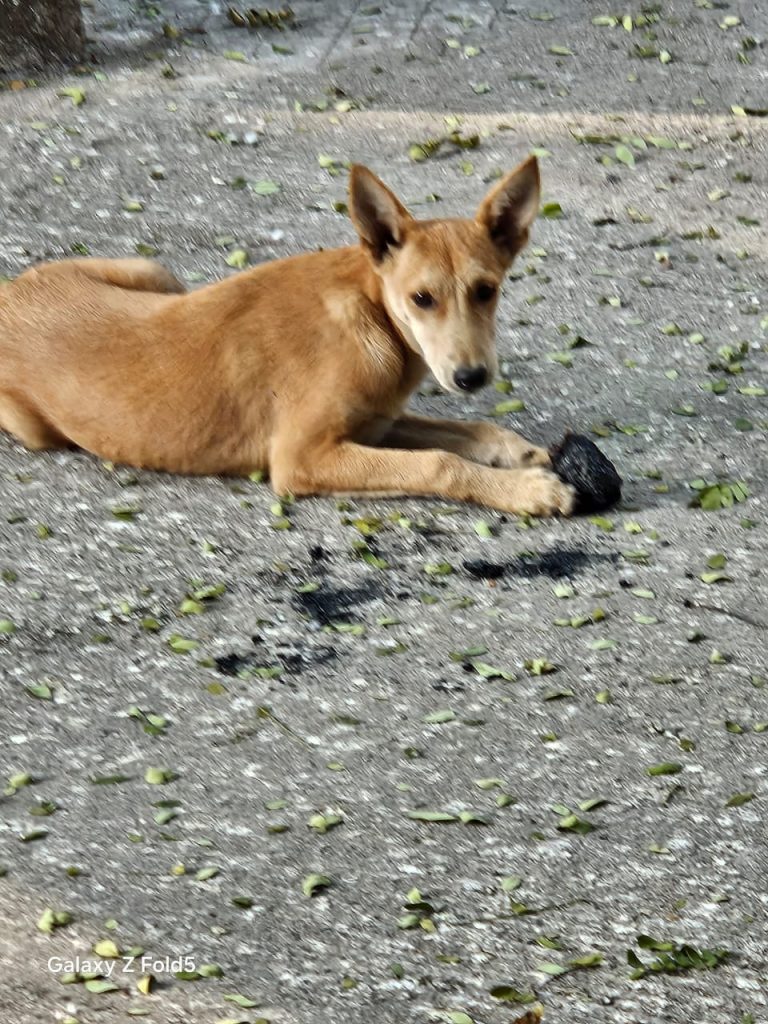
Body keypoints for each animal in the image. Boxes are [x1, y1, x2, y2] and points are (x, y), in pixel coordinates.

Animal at [0, 154, 577, 516]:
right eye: (421, 299)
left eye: (486, 290)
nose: (471, 377)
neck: (373, 317)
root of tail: (10, 293)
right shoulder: (303, 457)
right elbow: (439, 463)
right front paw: (526, 492)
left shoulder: (377, 420)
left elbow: (467, 432)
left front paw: (517, 452)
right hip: (35, 426)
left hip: (153, 272)